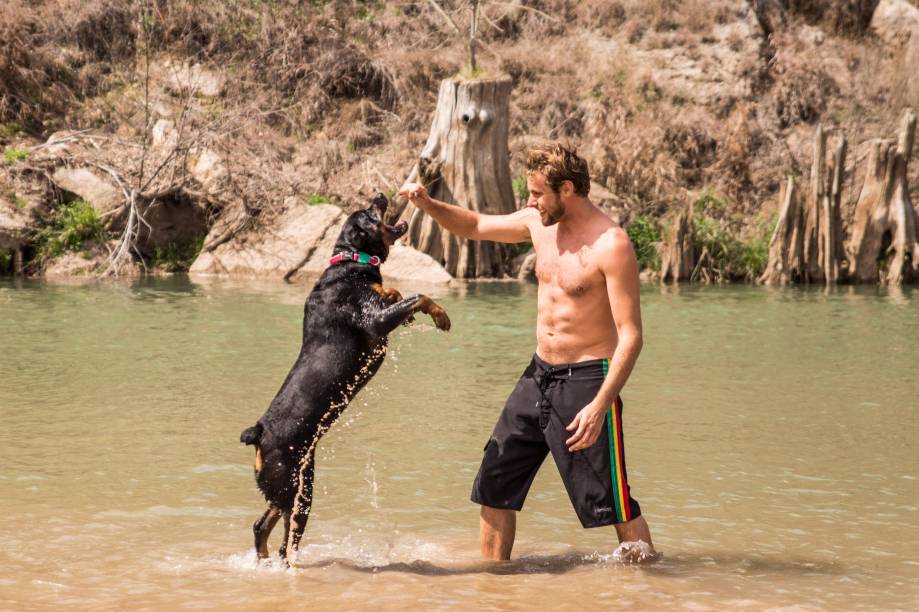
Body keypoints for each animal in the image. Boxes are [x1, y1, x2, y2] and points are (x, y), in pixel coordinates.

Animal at [241, 194, 450, 560]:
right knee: (285, 542)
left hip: (291, 485)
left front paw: (394, 292)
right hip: (295, 491)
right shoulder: (375, 321)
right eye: (369, 212)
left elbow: (396, 292)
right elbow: (419, 296)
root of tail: (259, 432)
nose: (379, 194)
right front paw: (442, 316)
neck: (351, 261)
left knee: (260, 526)